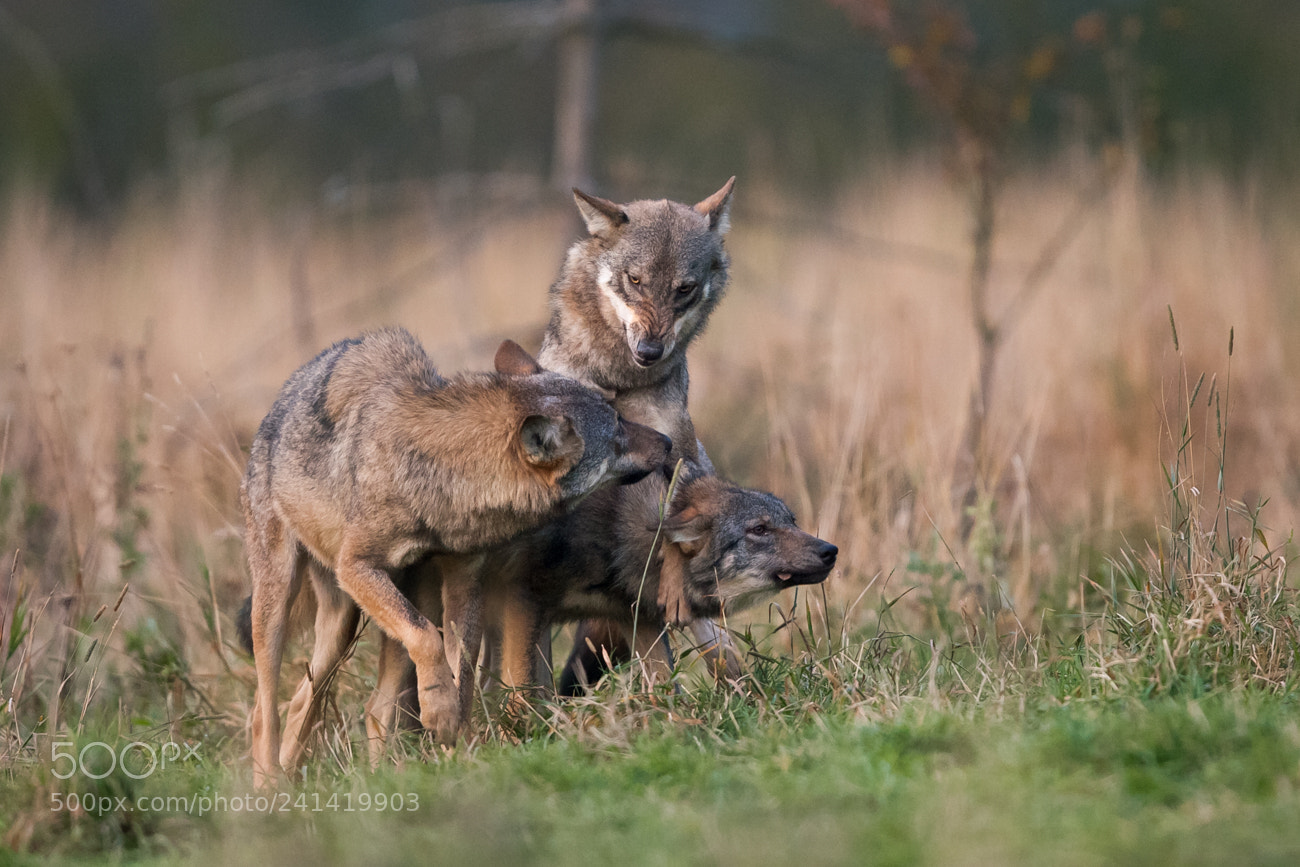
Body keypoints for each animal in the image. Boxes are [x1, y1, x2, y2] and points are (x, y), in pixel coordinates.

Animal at [238, 327, 669, 786]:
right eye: (618, 430)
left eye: (620, 416)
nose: (668, 442)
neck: (440, 479)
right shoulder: (356, 567)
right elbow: (427, 638)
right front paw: (440, 715)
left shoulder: (465, 581)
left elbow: (460, 677)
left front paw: (456, 748)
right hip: (285, 603)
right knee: (264, 711)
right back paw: (268, 789)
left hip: (350, 622)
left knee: (331, 704)